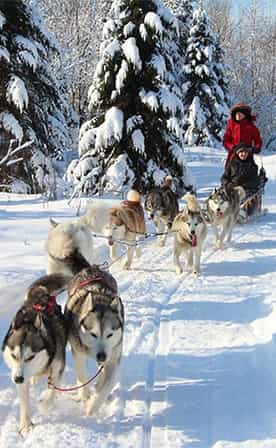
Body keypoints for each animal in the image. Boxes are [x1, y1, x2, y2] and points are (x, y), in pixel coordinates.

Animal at [2, 272, 70, 434]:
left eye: (31, 357)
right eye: (14, 356)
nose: (18, 379)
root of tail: (40, 292)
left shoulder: (57, 366)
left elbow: (52, 388)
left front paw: (44, 403)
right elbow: (24, 401)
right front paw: (26, 424)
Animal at [64, 264, 124, 414]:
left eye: (110, 334)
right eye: (93, 334)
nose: (101, 355)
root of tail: (92, 267)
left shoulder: (113, 356)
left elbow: (107, 384)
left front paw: (93, 406)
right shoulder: (78, 353)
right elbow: (81, 377)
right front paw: (85, 397)